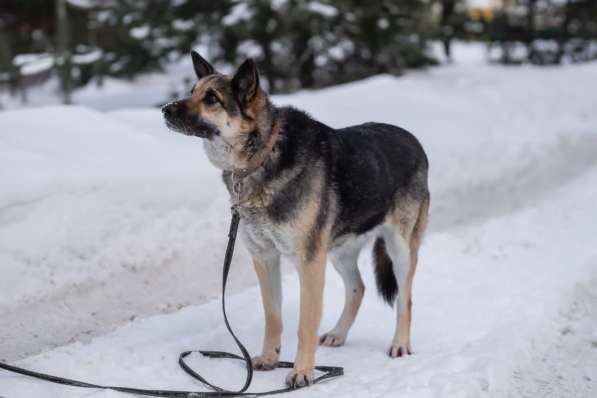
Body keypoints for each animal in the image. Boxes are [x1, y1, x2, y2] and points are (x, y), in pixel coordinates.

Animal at [163, 50, 428, 388]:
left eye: (211, 99)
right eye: (192, 91)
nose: (165, 109)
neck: (262, 155)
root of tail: (413, 140)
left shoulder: (309, 262)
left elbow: (305, 324)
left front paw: (302, 372)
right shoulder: (264, 258)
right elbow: (273, 316)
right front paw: (269, 358)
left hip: (399, 250)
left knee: (405, 300)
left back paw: (400, 343)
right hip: (339, 251)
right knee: (358, 288)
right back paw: (339, 333)